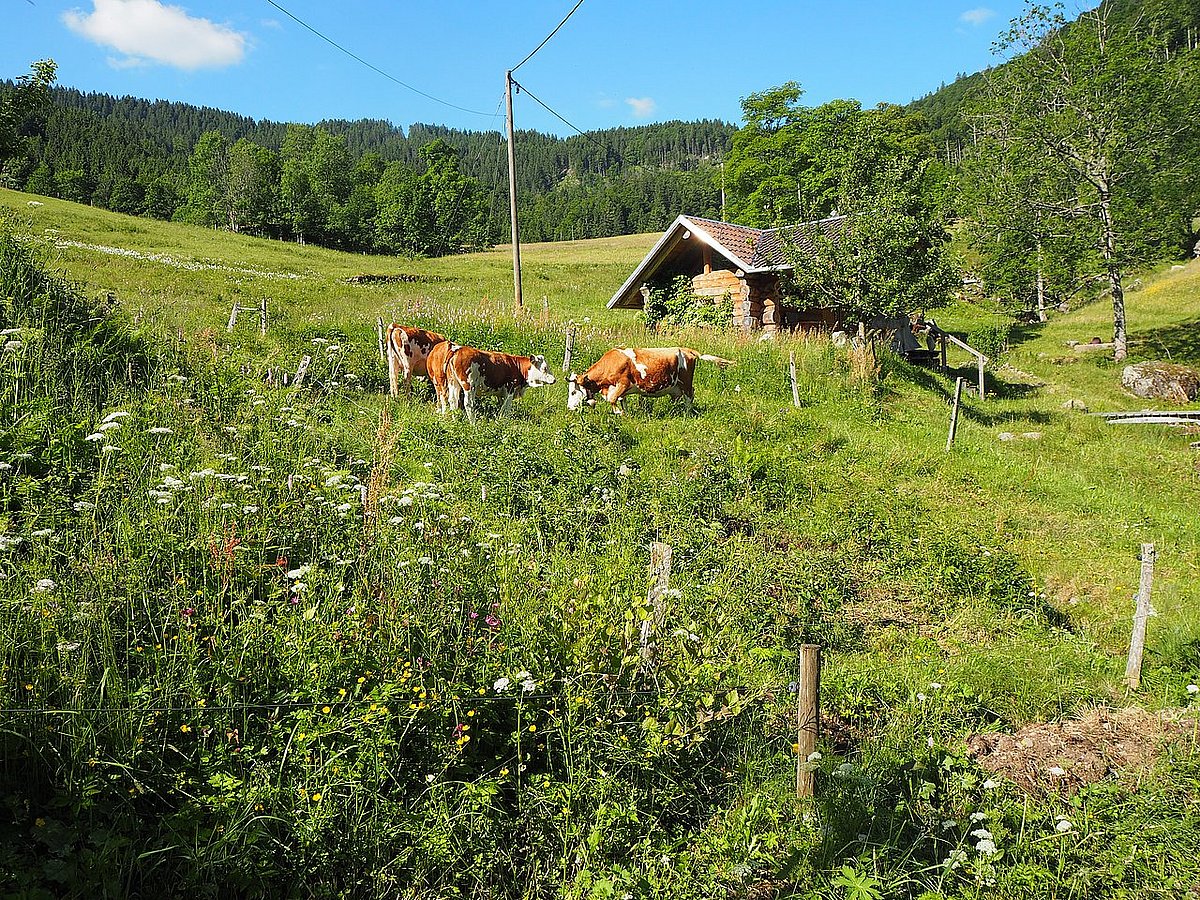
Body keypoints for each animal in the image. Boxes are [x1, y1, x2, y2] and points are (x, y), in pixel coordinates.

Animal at [568, 345, 734, 415]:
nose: (569, 408)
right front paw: (625, 414)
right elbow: (622, 401)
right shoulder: (621, 390)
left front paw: (618, 413)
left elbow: (612, 399)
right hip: (675, 386)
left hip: (686, 382)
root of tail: (686, 349)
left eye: (573, 393)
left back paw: (686, 413)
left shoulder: (622, 384)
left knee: (689, 396)